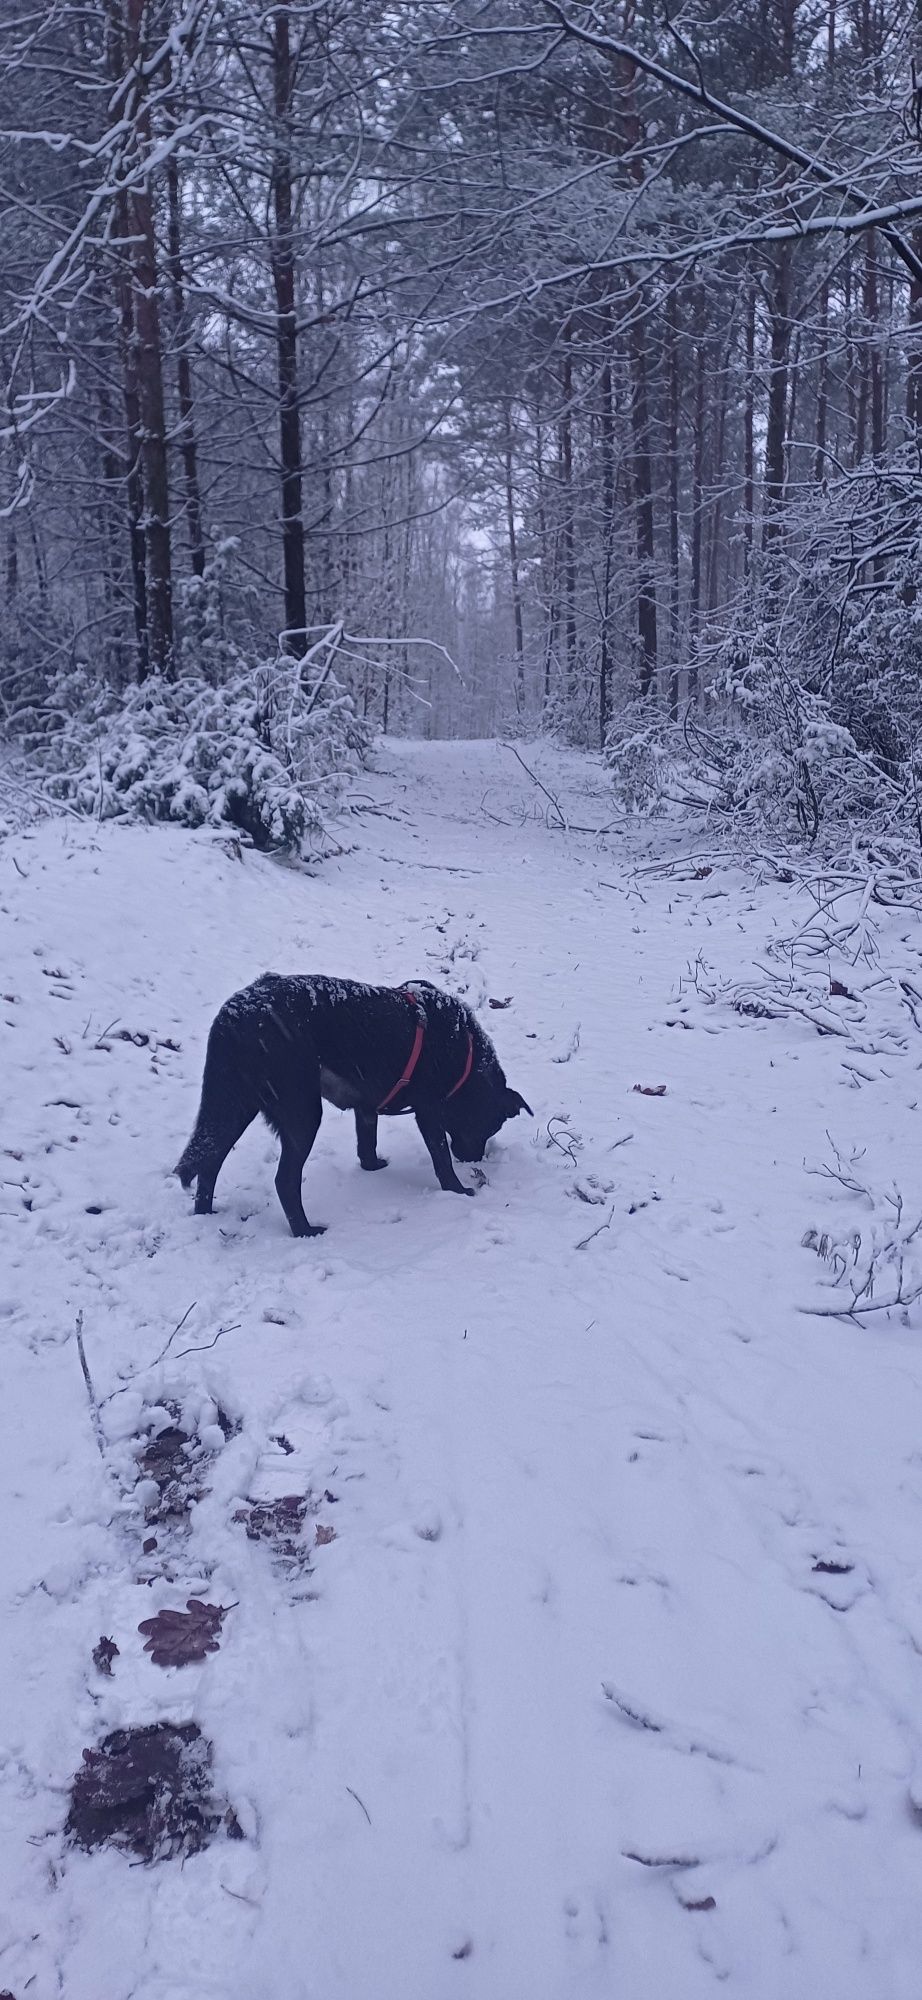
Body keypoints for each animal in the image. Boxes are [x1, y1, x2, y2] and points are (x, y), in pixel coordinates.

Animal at [174, 972, 532, 1232]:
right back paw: (305, 1231)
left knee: (210, 1161)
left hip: (233, 1105)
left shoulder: (366, 1106)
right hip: (301, 1113)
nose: (475, 1160)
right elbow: (440, 1157)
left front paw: (372, 1167)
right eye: (491, 1126)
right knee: (284, 1180)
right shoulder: (429, 1110)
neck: (464, 1054)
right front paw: (459, 1191)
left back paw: (205, 1214)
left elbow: (366, 1142)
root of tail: (235, 1016)